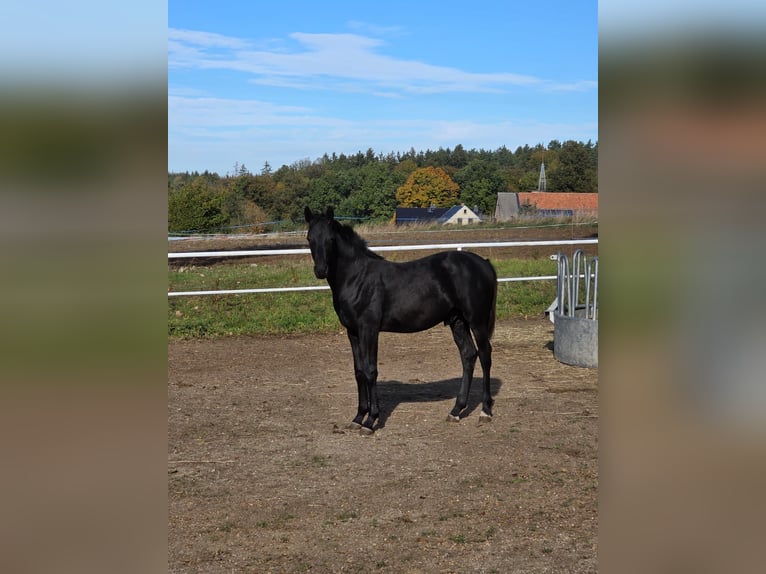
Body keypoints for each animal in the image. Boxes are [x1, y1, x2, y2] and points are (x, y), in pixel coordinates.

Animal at [304, 206, 498, 435]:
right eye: (309, 238)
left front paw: (370, 421)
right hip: (457, 321)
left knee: (485, 356)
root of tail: (484, 264)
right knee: (468, 355)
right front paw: (358, 417)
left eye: (331, 239)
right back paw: (456, 411)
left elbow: (370, 370)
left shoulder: (369, 329)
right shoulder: (353, 332)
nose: (320, 271)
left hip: (477, 320)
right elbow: (359, 371)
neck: (357, 277)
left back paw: (485, 411)